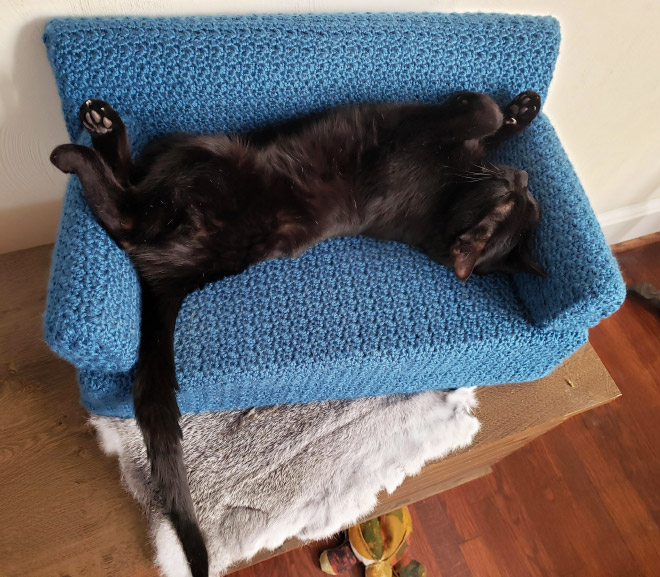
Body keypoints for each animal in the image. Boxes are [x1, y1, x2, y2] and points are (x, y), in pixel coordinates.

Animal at [51, 88, 544, 572]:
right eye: (523, 201)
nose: (521, 175)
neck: (446, 200)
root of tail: (182, 278)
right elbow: (487, 124)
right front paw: (521, 110)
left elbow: (481, 114)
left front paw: (484, 105)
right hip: (184, 155)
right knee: (133, 182)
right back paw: (102, 125)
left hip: (203, 164)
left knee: (127, 216)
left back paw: (76, 151)